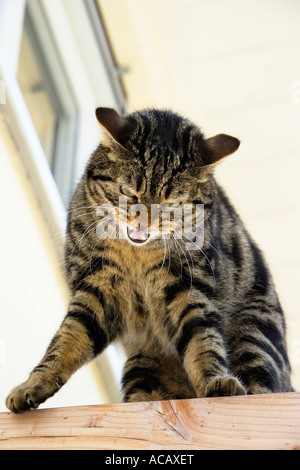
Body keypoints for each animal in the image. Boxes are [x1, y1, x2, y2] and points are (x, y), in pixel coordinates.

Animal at [5, 107, 292, 412]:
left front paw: (214, 380)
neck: (136, 256)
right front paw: (33, 384)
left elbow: (203, 341)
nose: (143, 222)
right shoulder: (95, 290)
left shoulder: (190, 288)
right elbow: (66, 341)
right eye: (128, 192)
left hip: (255, 333)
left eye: (171, 203)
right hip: (141, 364)